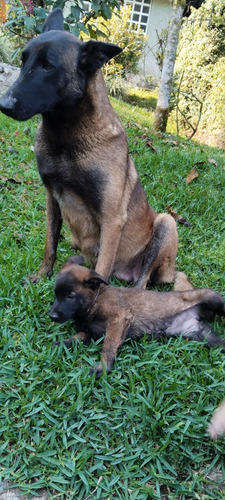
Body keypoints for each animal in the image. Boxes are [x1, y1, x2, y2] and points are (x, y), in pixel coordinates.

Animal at [0, 6, 179, 290]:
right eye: (23, 62)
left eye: (47, 66)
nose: (3, 104)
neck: (66, 138)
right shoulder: (52, 199)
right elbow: (50, 244)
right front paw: (42, 275)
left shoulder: (112, 220)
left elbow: (102, 269)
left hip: (167, 222)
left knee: (142, 280)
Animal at [49, 256, 225, 376]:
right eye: (56, 294)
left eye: (70, 296)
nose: (52, 316)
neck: (95, 300)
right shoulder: (91, 333)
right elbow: (77, 338)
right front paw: (62, 343)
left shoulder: (119, 318)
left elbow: (108, 345)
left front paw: (103, 366)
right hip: (205, 337)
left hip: (213, 298)